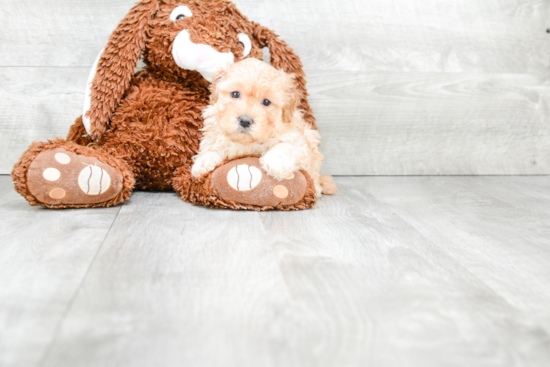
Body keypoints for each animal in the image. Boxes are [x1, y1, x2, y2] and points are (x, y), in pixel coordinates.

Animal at [192, 58, 338, 198]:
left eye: (266, 102)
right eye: (235, 94)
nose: (245, 121)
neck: (248, 142)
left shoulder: (300, 143)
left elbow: (287, 147)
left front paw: (275, 163)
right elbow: (215, 148)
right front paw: (202, 162)